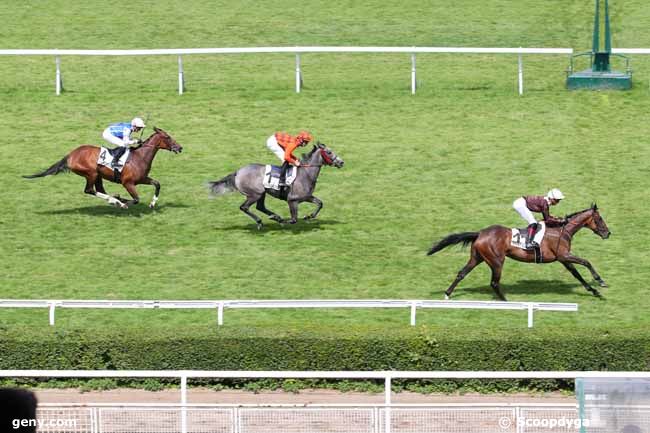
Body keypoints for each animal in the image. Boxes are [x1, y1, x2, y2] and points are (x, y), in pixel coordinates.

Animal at [24, 126, 181, 208]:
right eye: (167, 137)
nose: (180, 147)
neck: (139, 157)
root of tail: (71, 155)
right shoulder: (128, 183)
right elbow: (136, 199)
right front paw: (123, 203)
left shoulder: (141, 179)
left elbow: (157, 184)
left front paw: (153, 203)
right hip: (91, 173)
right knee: (89, 190)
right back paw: (115, 201)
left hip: (98, 175)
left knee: (99, 190)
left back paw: (114, 199)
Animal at [209, 142, 344, 230]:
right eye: (329, 152)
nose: (341, 162)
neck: (305, 174)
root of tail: (238, 172)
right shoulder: (292, 200)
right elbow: (294, 219)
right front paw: (283, 220)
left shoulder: (307, 196)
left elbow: (320, 203)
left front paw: (309, 216)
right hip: (255, 194)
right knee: (244, 207)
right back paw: (262, 221)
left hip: (262, 193)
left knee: (260, 207)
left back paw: (274, 216)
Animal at [428, 204, 612, 298]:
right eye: (599, 218)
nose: (608, 233)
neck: (562, 230)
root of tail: (480, 233)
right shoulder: (564, 255)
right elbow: (586, 262)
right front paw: (600, 281)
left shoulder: (563, 259)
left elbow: (577, 274)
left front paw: (594, 291)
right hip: (497, 261)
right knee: (494, 282)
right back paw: (505, 301)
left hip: (477, 257)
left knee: (462, 273)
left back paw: (447, 294)